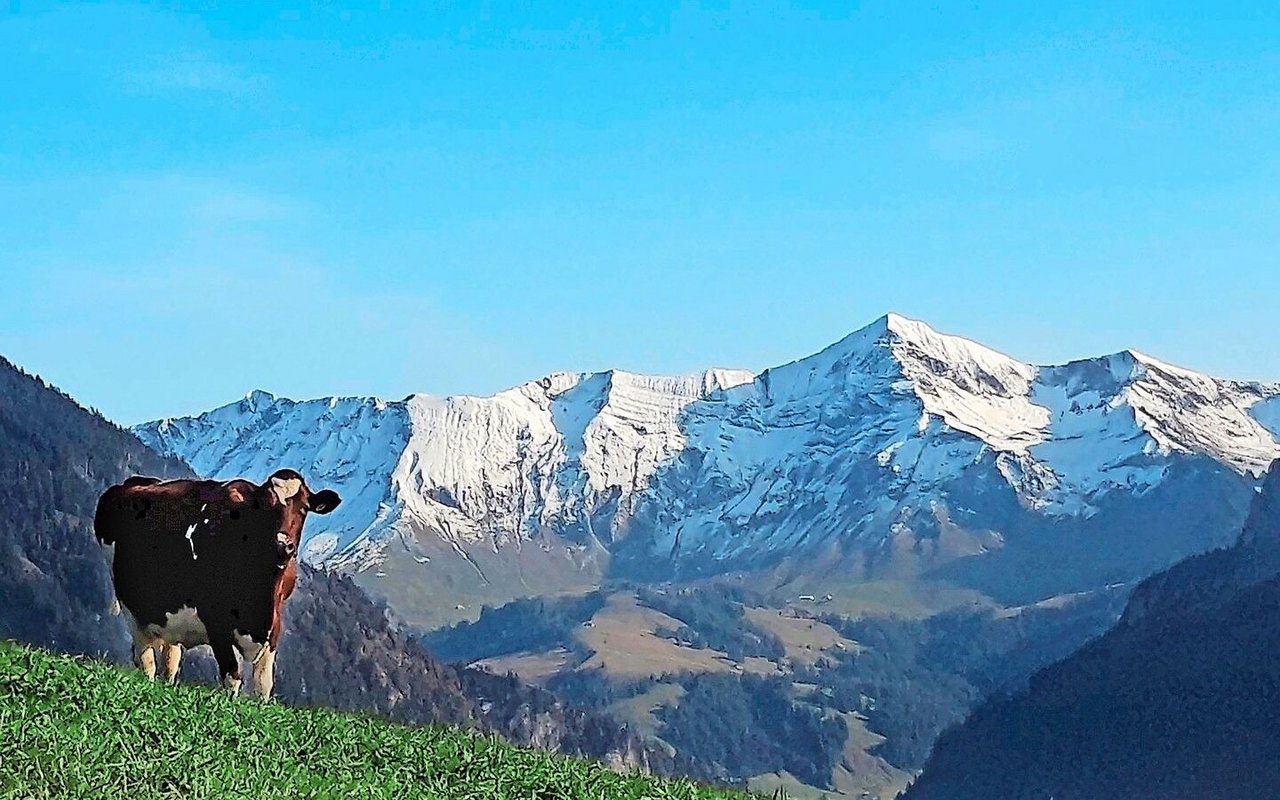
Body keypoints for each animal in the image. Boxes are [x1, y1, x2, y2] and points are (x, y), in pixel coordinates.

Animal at [93, 468, 340, 691]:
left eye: (303, 508)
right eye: (265, 507)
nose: (283, 545)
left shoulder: (274, 623)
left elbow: (264, 684)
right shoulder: (215, 620)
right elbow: (232, 677)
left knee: (170, 659)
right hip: (131, 608)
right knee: (146, 661)